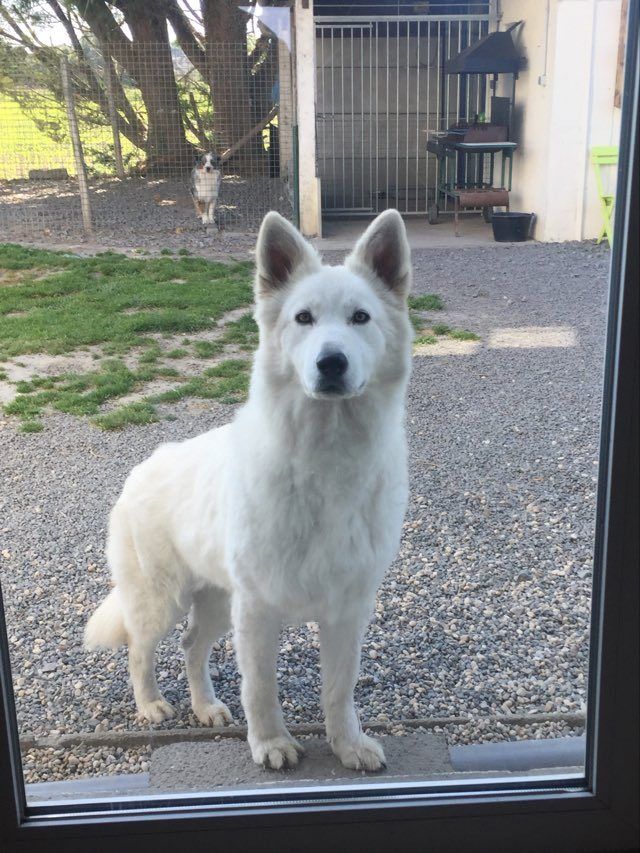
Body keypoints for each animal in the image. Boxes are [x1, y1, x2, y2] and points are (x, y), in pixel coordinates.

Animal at [85, 210, 412, 768]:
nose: (331, 363)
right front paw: (271, 744)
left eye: (360, 318)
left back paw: (206, 707)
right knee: (139, 649)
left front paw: (347, 745)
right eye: (303, 318)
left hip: (217, 603)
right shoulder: (258, 610)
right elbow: (260, 686)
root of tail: (145, 466)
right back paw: (151, 705)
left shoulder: (347, 610)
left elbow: (339, 689)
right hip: (163, 601)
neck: (325, 456)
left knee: (192, 646)